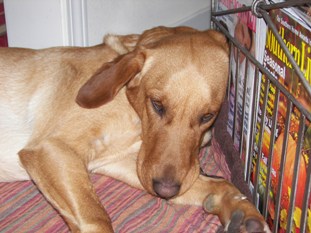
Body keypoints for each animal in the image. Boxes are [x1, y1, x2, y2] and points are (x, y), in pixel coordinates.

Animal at [0, 26, 270, 232]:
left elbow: (220, 184)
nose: (166, 191)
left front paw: (243, 211)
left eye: (207, 116)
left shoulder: (125, 162)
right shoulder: (52, 148)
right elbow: (97, 218)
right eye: (157, 105)